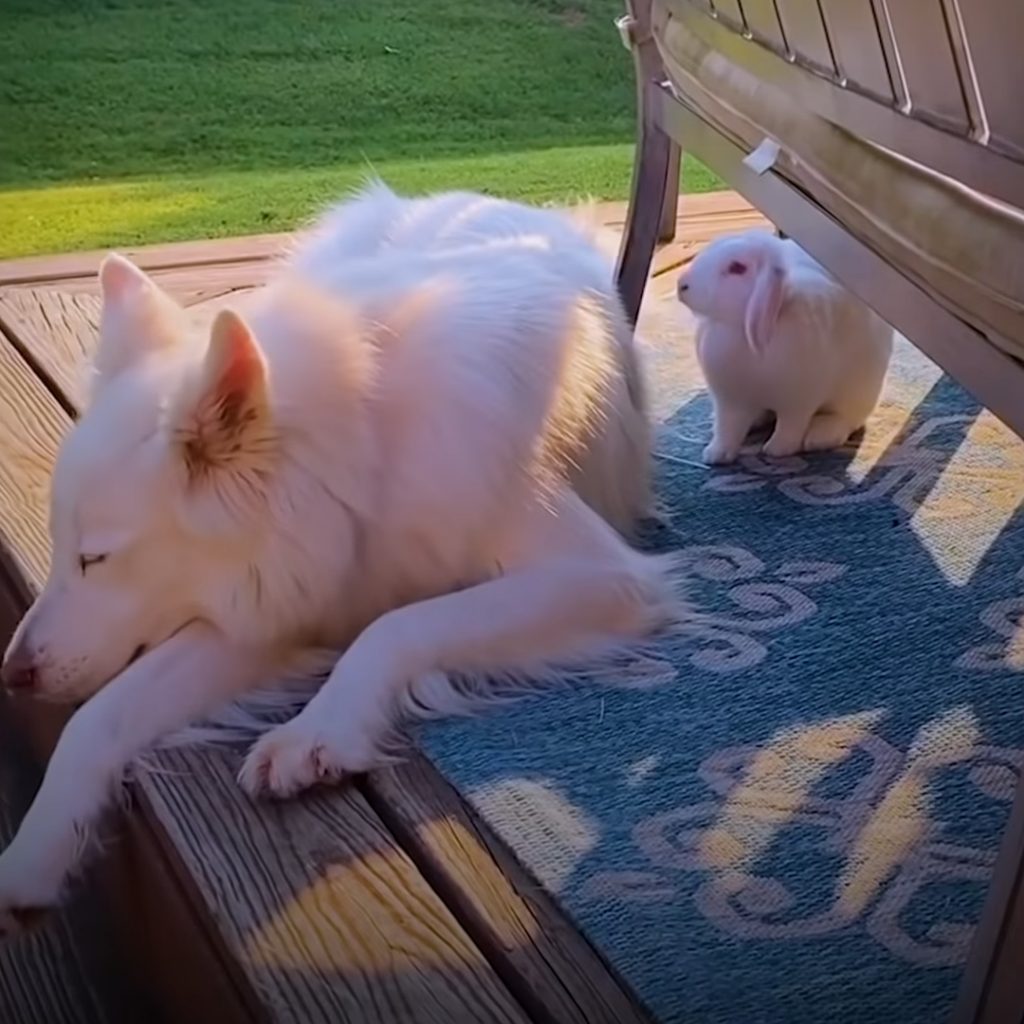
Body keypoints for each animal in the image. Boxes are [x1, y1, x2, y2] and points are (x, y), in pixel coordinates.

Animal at [2, 184, 688, 929]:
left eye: (95, 559)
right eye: (61, 548)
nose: (13, 677)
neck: (366, 440)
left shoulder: (601, 575)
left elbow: (397, 627)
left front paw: (317, 731)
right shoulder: (276, 599)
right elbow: (100, 717)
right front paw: (35, 851)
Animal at [675, 230, 892, 466]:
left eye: (737, 268)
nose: (682, 285)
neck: (739, 328)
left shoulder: (799, 401)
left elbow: (790, 426)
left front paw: (776, 450)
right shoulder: (729, 402)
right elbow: (727, 430)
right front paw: (716, 455)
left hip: (858, 394)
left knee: (846, 419)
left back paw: (819, 437)